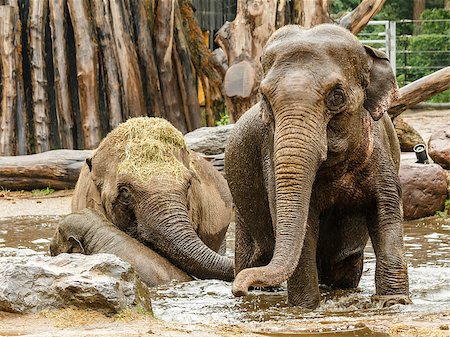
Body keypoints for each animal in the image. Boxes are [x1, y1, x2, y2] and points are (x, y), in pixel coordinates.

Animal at [225, 23, 412, 308]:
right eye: (264, 97)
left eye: (336, 96)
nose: (239, 289)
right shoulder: (270, 152)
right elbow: (304, 226)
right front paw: (305, 308)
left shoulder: (379, 153)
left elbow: (386, 209)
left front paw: (393, 302)